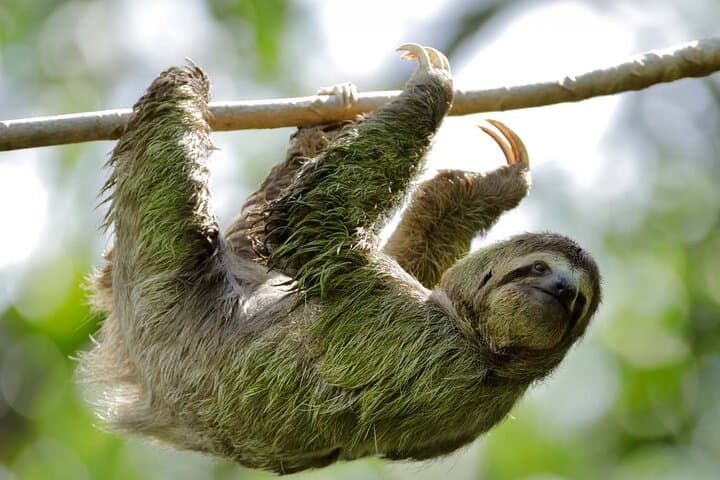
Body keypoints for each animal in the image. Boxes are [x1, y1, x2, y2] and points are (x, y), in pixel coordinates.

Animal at [79, 44, 601, 474]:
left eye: (578, 301)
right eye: (540, 268)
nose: (562, 289)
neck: (482, 348)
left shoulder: (388, 321)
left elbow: (308, 219)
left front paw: (433, 84)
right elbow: (407, 252)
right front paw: (491, 185)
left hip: (159, 301)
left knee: (173, 161)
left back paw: (185, 89)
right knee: (257, 229)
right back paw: (327, 116)